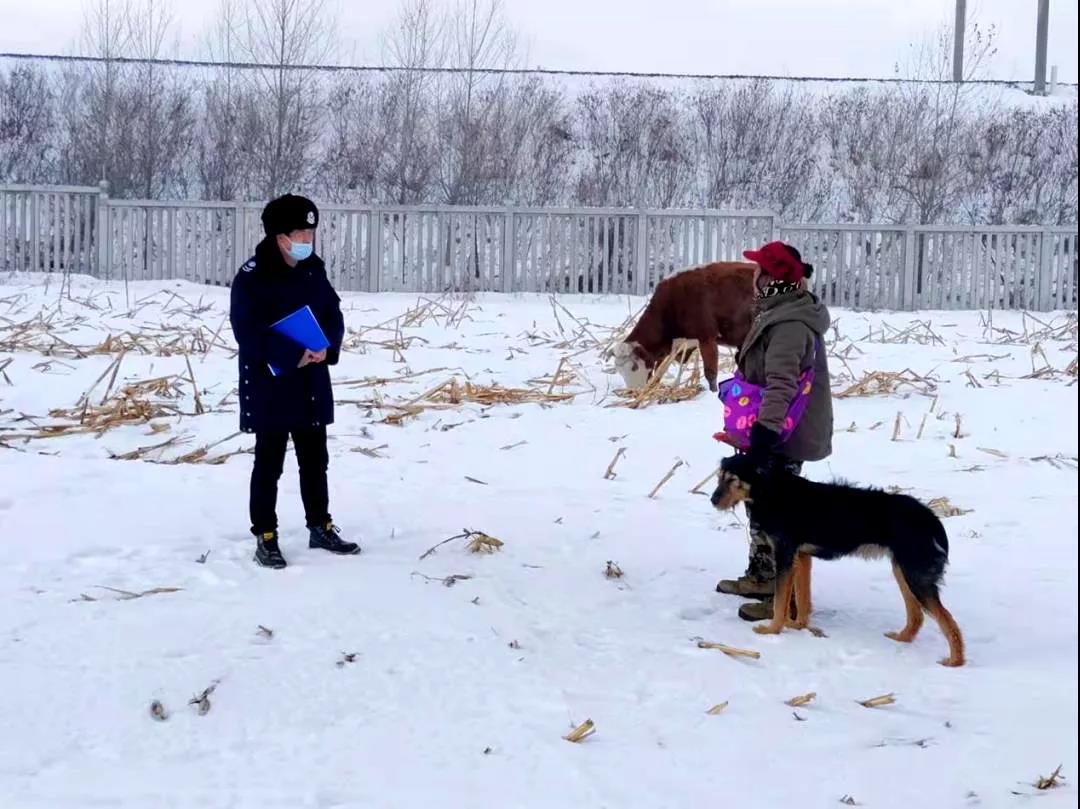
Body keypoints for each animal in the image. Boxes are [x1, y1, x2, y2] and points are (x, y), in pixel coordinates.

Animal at [710, 453, 965, 667]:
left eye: (733, 479)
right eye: (720, 477)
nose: (713, 500)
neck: (770, 490)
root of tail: (931, 519)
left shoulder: (784, 556)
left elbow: (780, 602)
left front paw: (772, 630)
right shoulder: (801, 558)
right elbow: (802, 599)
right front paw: (798, 626)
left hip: (915, 576)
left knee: (949, 622)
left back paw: (955, 662)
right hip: (903, 571)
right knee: (917, 616)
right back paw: (902, 638)